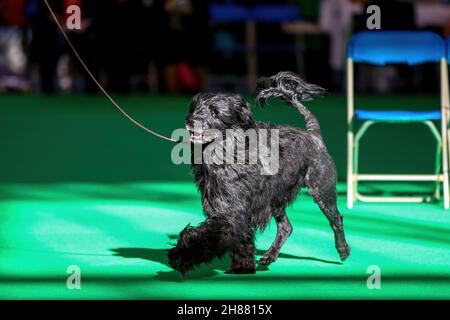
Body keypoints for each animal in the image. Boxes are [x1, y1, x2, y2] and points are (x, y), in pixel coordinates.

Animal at [167, 72, 350, 276]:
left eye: (215, 112)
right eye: (194, 108)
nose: (190, 121)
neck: (227, 152)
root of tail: (313, 135)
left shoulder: (232, 212)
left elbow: (207, 236)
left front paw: (182, 255)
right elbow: (242, 241)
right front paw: (242, 267)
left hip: (321, 189)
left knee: (336, 218)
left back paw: (343, 249)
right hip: (276, 198)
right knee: (286, 227)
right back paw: (269, 256)